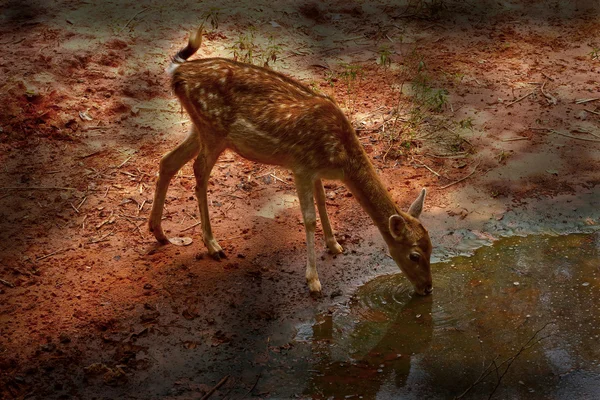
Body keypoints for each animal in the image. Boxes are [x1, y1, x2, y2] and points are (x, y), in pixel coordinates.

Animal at [148, 25, 434, 294]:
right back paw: (212, 245)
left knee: (168, 160)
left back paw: (159, 232)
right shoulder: (301, 166)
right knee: (199, 171)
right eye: (414, 255)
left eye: (431, 246)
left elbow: (322, 201)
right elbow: (308, 217)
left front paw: (334, 245)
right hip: (213, 130)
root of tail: (177, 71)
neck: (341, 160)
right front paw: (314, 281)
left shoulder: (315, 170)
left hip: (199, 128)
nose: (428, 288)